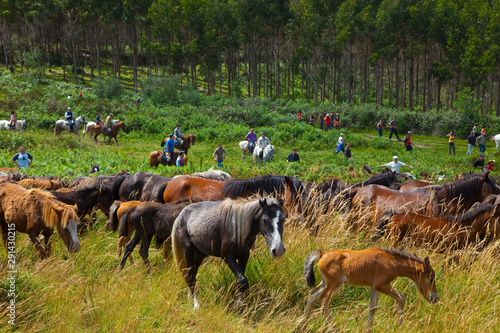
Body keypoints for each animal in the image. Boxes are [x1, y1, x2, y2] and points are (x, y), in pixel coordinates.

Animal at [300, 248, 438, 330]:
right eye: (431, 279)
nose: (435, 298)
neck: (392, 261)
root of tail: (322, 254)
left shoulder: (374, 287)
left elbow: (372, 307)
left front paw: (368, 329)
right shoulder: (381, 284)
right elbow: (401, 298)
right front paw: (398, 326)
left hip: (325, 283)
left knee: (312, 294)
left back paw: (301, 326)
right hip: (334, 283)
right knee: (323, 299)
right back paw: (333, 329)